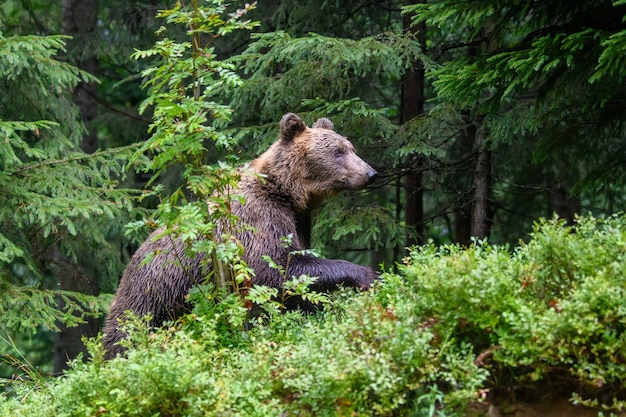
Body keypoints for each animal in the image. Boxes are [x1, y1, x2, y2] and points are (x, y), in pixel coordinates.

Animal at [102, 113, 376, 358]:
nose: (370, 173)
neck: (287, 193)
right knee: (127, 335)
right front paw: (367, 274)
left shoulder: (300, 223)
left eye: (351, 147)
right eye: (338, 151)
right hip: (156, 294)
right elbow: (276, 269)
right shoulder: (258, 220)